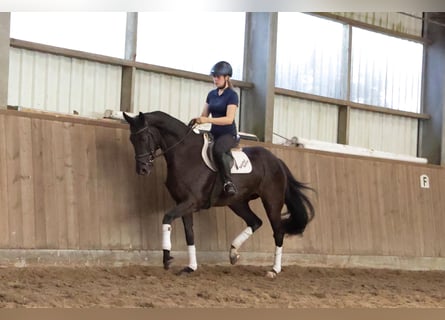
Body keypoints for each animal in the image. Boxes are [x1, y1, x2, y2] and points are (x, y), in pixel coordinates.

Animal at [123, 110, 314, 278]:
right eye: (131, 139)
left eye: (143, 137)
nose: (142, 170)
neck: (185, 154)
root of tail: (277, 161)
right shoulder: (184, 203)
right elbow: (189, 234)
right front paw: (190, 267)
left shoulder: (192, 202)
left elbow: (167, 218)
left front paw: (167, 258)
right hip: (237, 202)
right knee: (255, 222)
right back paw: (233, 253)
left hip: (272, 202)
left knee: (278, 232)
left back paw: (274, 270)